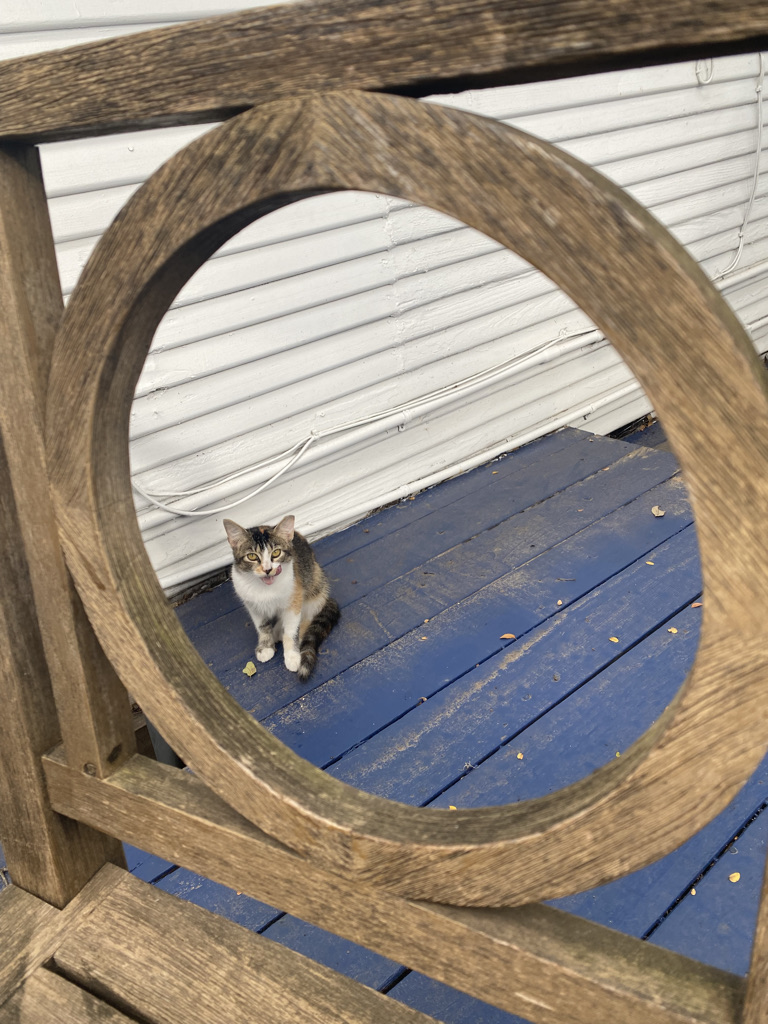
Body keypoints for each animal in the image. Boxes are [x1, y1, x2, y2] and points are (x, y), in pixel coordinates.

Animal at [224, 515, 340, 681]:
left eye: (276, 553)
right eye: (252, 556)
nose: (267, 569)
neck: (265, 587)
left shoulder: (294, 598)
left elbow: (291, 631)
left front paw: (293, 656)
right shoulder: (252, 604)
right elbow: (262, 626)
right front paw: (265, 646)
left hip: (315, 584)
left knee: (307, 616)